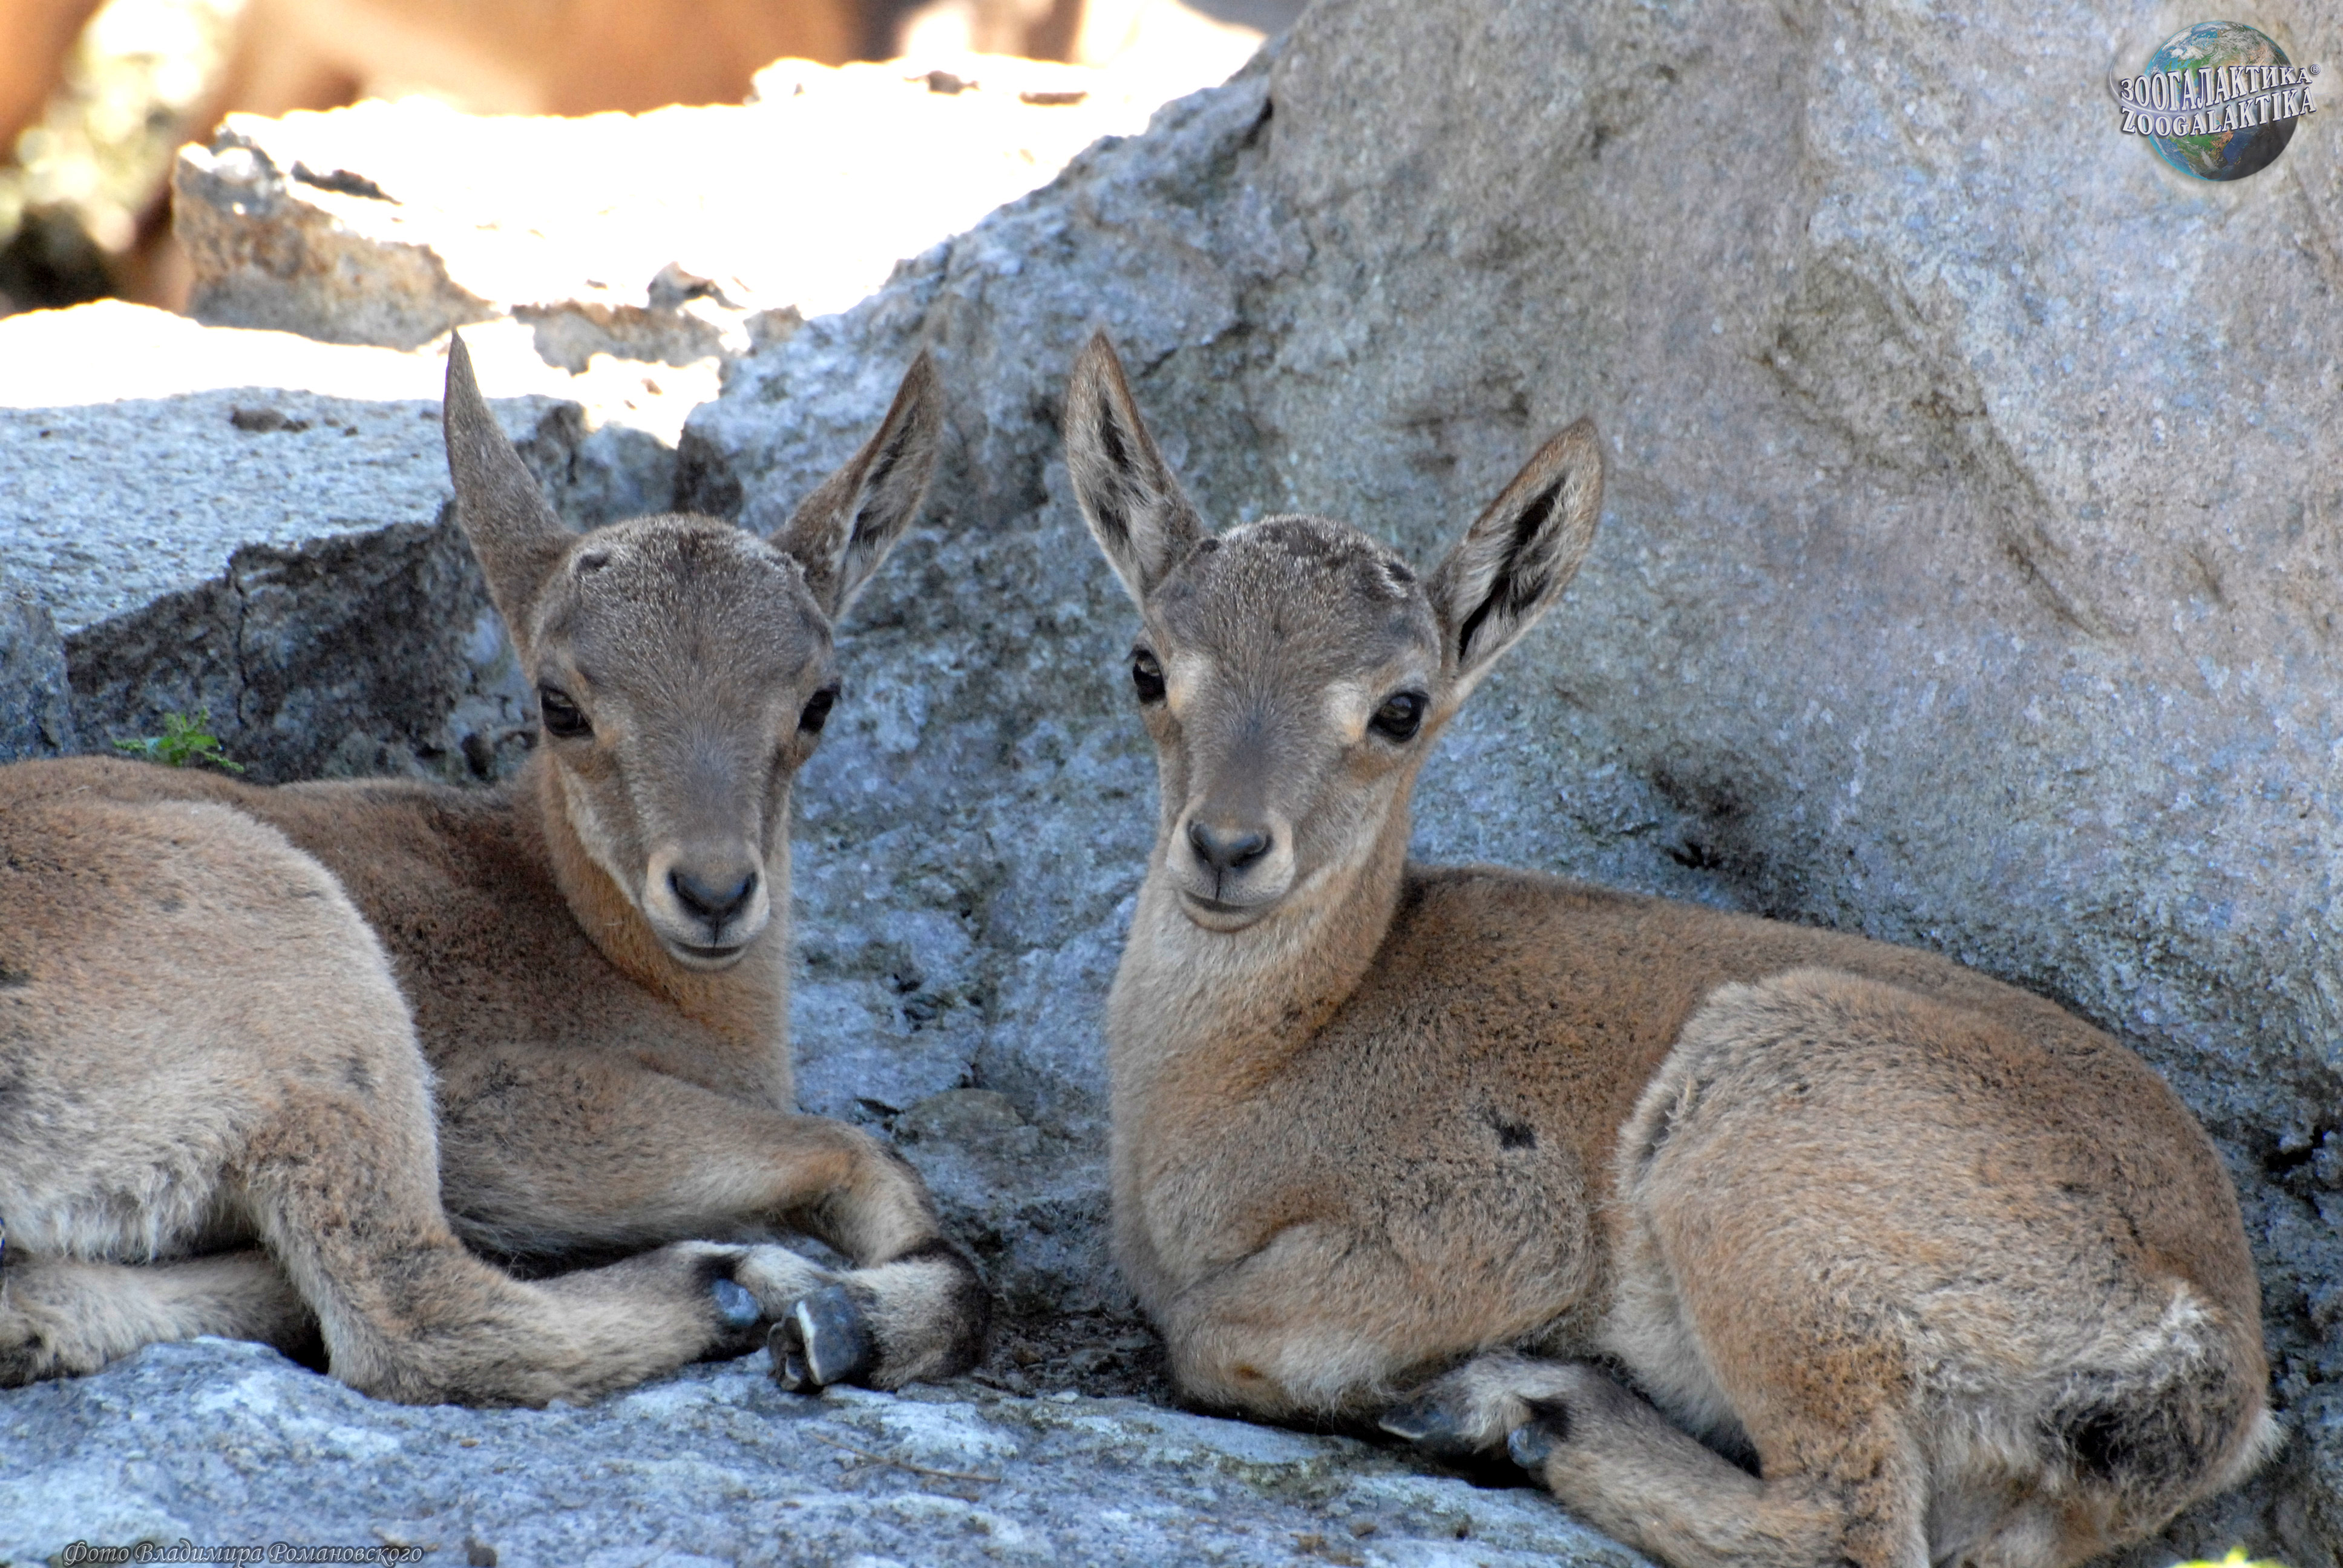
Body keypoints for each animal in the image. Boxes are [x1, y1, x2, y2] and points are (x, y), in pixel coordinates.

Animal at [0, 335, 987, 1406]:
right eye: (560, 704)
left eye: (819, 702)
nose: (715, 893)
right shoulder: (487, 1102)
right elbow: (868, 1157)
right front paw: (848, 1321)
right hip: (301, 963)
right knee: (414, 1319)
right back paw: (731, 1281)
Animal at [1061, 332, 2276, 1568]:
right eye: (1148, 665)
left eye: (1401, 707)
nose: (1227, 846)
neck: (1268, 1061)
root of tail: (2198, 1358)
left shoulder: (1493, 1226)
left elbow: (1209, 1335)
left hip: (1761, 1190)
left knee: (1843, 1516)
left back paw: (1523, 1406)